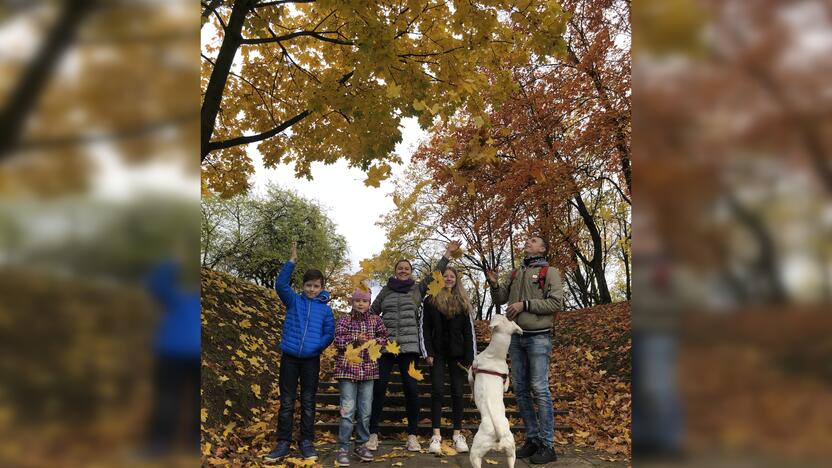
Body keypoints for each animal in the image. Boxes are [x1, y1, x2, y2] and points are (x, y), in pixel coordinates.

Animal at [468, 312, 520, 468]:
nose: (499, 312)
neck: (495, 356)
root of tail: (498, 434)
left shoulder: (471, 373)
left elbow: (471, 384)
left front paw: (471, 396)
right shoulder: (506, 381)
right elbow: (506, 386)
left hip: (475, 453)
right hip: (511, 451)